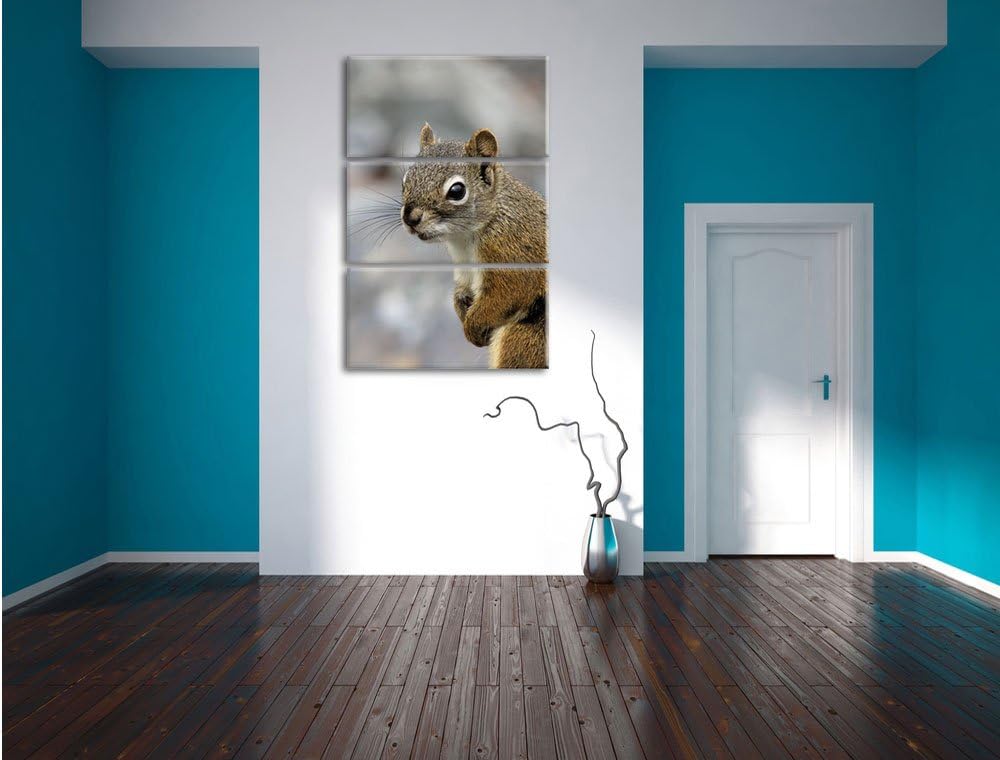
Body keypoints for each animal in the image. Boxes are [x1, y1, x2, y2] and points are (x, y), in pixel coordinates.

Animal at [400, 123, 547, 369]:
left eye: (457, 191)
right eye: (404, 181)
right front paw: (462, 309)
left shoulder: (512, 252)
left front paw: (473, 328)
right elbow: (461, 293)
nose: (410, 218)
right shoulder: (464, 267)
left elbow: (506, 295)